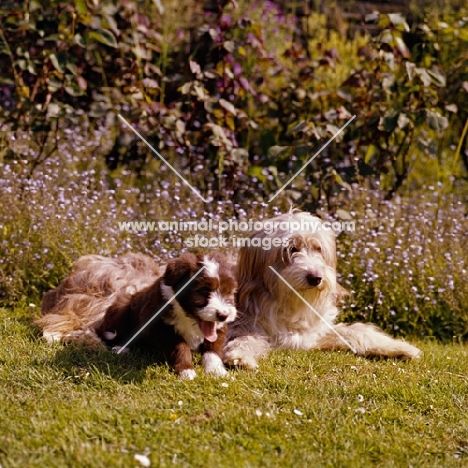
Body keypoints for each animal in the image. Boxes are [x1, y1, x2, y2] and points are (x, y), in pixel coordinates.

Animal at [223, 212, 420, 370]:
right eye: (291, 249)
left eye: (318, 249)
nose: (316, 277)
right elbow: (245, 338)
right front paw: (239, 356)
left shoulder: (315, 335)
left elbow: (358, 332)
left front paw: (401, 348)